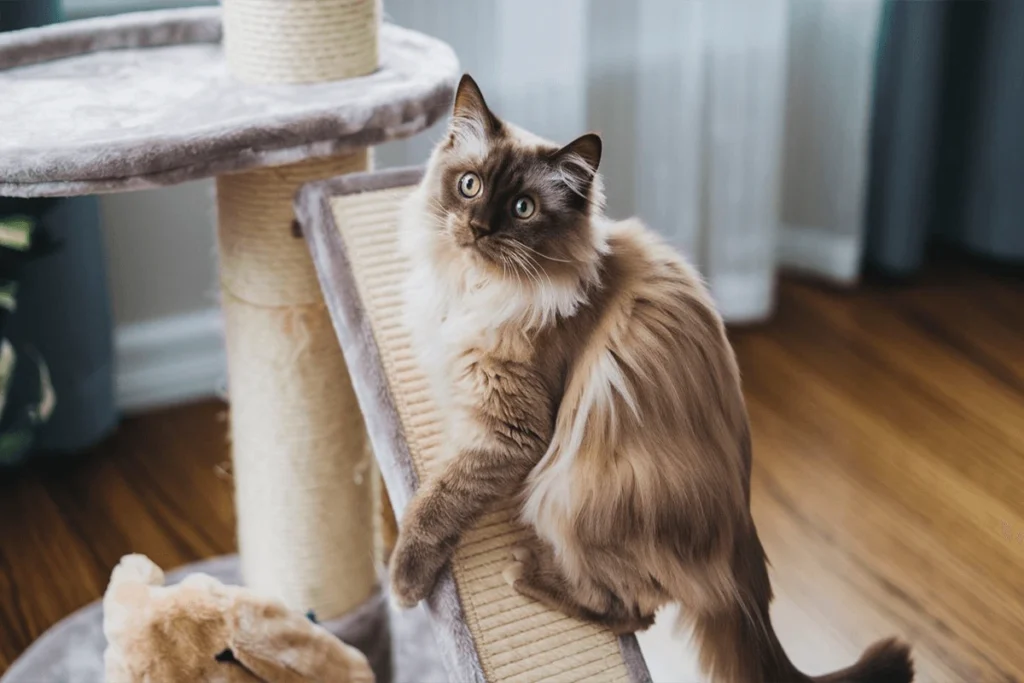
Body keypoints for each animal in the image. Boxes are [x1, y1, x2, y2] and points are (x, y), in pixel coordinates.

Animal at [389, 74, 913, 683]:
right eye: (469, 186)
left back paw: (528, 573)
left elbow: (437, 501)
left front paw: (403, 581)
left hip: (569, 488)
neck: (476, 288)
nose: (476, 228)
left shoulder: (507, 434)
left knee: (632, 611)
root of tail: (743, 547)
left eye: (522, 208)